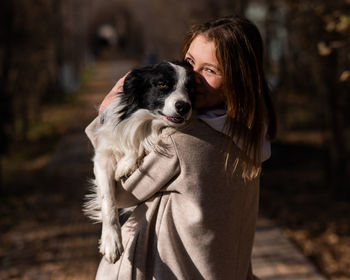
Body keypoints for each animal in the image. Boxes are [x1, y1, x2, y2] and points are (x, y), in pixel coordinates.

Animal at [83, 60, 196, 262]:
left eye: (190, 89)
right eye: (163, 84)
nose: (184, 106)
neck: (145, 121)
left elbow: (143, 143)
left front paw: (125, 164)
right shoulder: (103, 156)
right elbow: (108, 199)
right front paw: (111, 242)